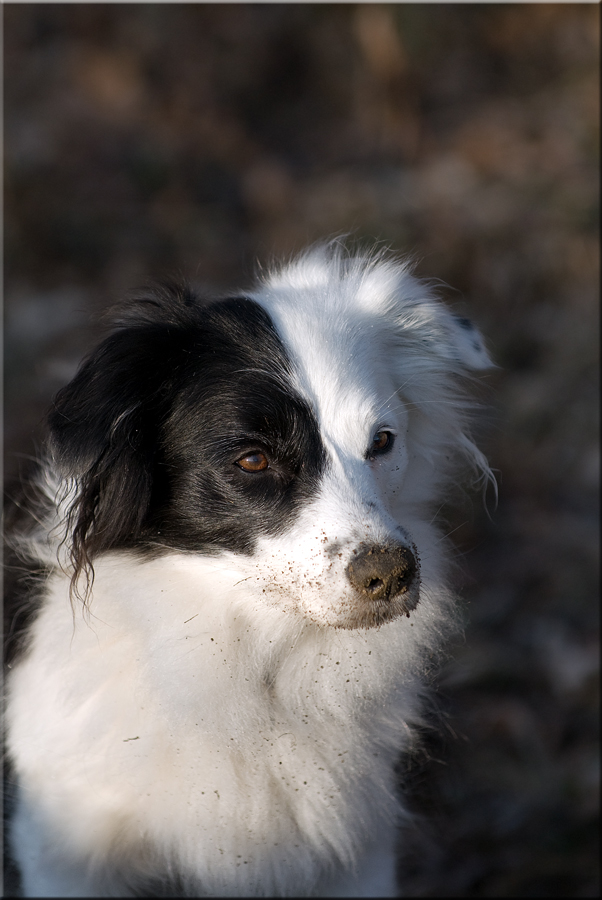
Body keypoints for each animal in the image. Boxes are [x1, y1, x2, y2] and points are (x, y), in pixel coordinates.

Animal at [4, 246, 490, 900]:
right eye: (253, 459)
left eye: (383, 441)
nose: (392, 575)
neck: (252, 662)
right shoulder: (66, 849)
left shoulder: (357, 852)